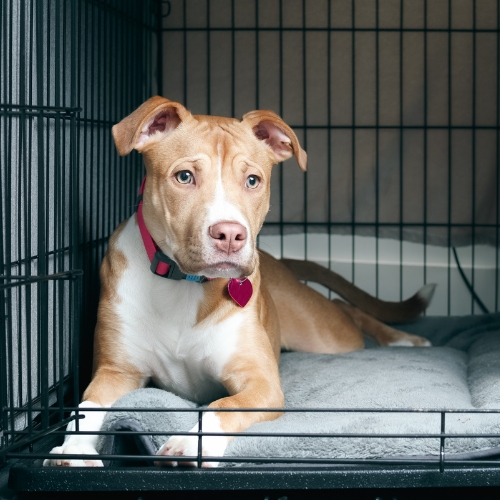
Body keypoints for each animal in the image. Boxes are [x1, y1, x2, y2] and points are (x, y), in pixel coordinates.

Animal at [44, 96, 434, 468]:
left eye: (252, 180)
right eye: (184, 177)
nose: (230, 235)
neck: (185, 284)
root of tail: (281, 262)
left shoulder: (260, 382)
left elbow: (222, 405)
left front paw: (191, 442)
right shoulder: (115, 372)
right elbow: (85, 408)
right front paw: (74, 447)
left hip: (325, 336)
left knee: (345, 309)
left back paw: (404, 340)